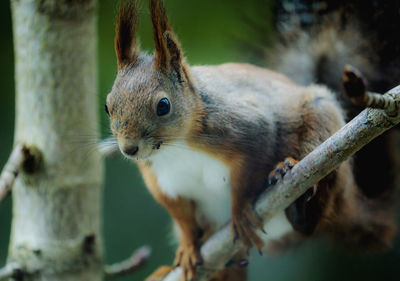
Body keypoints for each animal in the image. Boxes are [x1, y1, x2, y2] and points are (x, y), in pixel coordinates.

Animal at [106, 0, 396, 280]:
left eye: (163, 105)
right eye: (108, 106)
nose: (129, 149)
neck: (175, 147)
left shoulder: (248, 130)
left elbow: (246, 177)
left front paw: (240, 213)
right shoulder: (160, 179)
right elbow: (181, 217)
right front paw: (188, 247)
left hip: (323, 125)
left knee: (317, 208)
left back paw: (294, 190)